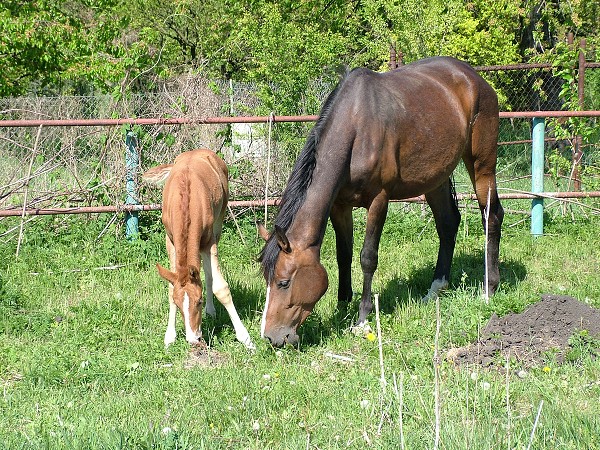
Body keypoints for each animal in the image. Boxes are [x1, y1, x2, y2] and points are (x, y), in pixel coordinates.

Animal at [144, 149, 254, 350]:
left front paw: (246, 339)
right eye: (178, 304)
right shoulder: (170, 240)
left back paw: (212, 311)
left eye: (199, 301)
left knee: (209, 275)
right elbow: (171, 287)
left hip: (218, 224)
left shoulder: (208, 241)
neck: (186, 199)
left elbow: (221, 287)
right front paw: (169, 337)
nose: (193, 339)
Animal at [260, 57, 504, 348]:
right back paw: (435, 289)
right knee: (447, 224)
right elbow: (343, 255)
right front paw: (342, 306)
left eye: (284, 282)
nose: (272, 337)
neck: (356, 128)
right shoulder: (339, 206)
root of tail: (476, 79)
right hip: (436, 178)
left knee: (492, 217)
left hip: (482, 165)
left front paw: (362, 317)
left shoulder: (379, 200)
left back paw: (489, 289)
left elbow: (367, 257)